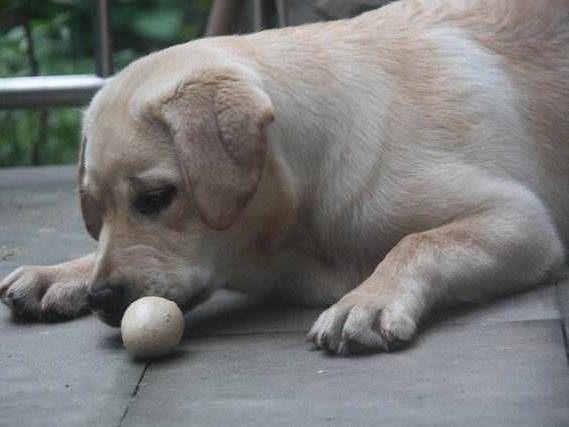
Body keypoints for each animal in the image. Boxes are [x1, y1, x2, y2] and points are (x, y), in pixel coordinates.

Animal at [1, 0, 568, 354]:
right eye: (95, 212)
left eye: (157, 197)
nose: (101, 299)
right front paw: (63, 271)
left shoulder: (521, 218)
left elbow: (418, 241)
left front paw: (367, 300)